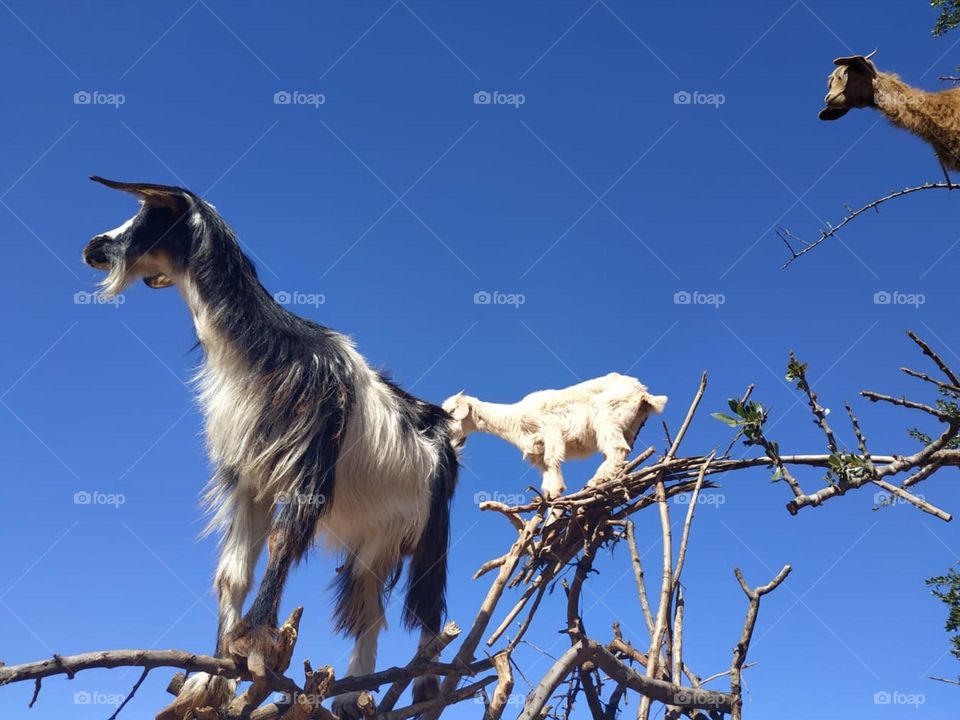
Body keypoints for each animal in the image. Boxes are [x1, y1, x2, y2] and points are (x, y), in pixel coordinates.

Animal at [81, 177, 458, 716]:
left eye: (152, 215)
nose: (93, 247)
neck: (265, 353)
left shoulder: (309, 467)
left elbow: (282, 542)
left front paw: (253, 643)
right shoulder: (249, 477)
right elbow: (231, 574)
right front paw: (211, 681)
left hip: (431, 534)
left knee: (427, 610)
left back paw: (425, 689)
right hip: (375, 538)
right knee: (368, 610)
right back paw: (354, 695)